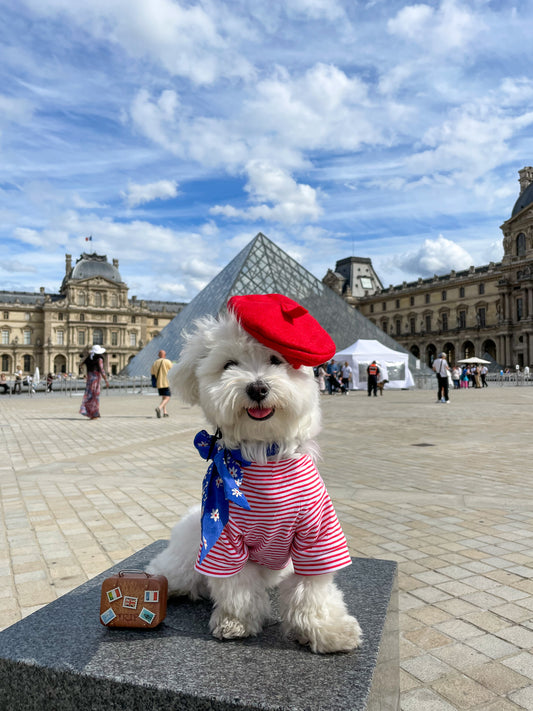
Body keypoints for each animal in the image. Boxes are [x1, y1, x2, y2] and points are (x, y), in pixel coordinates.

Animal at [145, 304, 362, 652]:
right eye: (229, 364)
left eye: (275, 359)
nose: (257, 388)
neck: (263, 453)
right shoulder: (224, 539)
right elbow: (237, 587)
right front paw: (236, 622)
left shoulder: (317, 535)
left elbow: (312, 589)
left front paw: (326, 630)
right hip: (193, 546)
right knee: (176, 570)